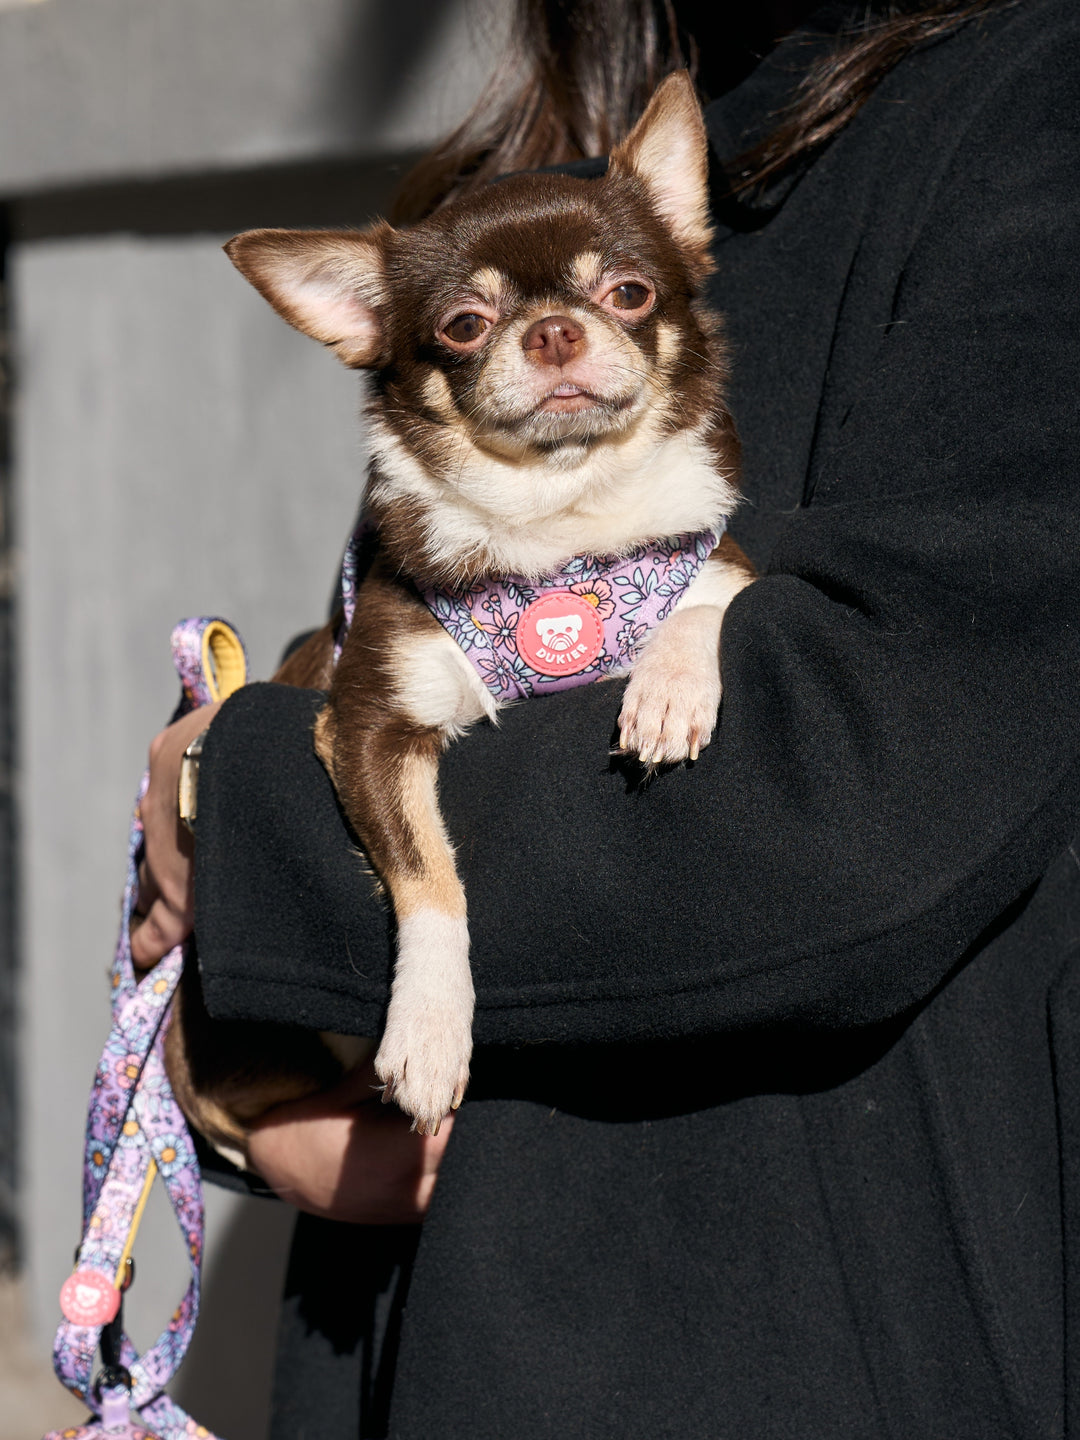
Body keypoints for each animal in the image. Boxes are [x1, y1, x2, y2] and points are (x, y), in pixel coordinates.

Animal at [167, 75, 754, 1157]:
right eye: (464, 325)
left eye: (630, 293)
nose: (555, 328)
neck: (560, 523)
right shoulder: (367, 725)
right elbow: (429, 877)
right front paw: (431, 1030)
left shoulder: (715, 558)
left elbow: (709, 602)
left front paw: (670, 686)